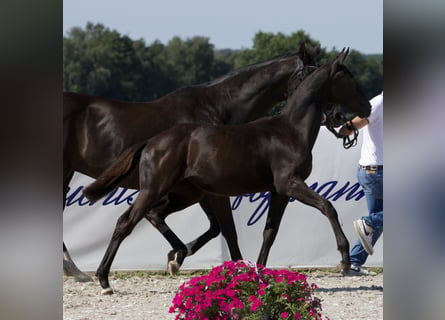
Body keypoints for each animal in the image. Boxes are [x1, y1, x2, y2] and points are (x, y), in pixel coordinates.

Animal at [84, 48, 372, 296]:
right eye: (347, 78)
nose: (365, 109)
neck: (289, 131)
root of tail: (152, 141)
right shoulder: (290, 183)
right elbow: (327, 207)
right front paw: (344, 259)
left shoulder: (279, 192)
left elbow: (269, 232)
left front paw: (257, 274)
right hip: (156, 189)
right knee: (125, 223)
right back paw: (104, 279)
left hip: (185, 194)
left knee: (154, 215)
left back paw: (174, 256)